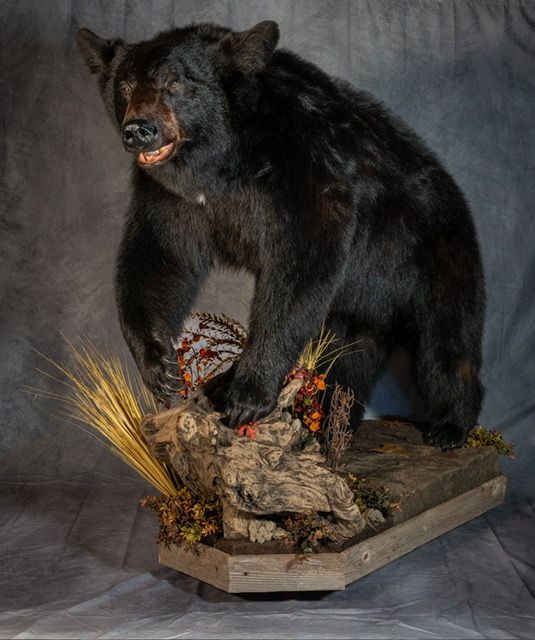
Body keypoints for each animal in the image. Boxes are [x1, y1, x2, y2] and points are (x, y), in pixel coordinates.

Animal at [77, 20, 485, 449]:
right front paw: (159, 364)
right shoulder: (170, 197)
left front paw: (248, 394)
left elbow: (298, 271)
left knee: (445, 347)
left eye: (175, 81)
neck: (224, 161)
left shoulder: (306, 171)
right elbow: (160, 257)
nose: (139, 130)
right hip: (355, 307)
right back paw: (328, 422)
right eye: (124, 86)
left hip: (436, 256)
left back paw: (450, 426)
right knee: (348, 358)